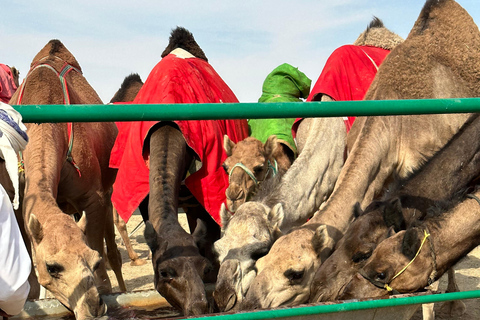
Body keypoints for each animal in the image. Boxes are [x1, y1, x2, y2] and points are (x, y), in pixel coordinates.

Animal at [9, 38, 124, 318]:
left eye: (93, 261)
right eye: (52, 267)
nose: (93, 308)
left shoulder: (95, 197)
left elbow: (101, 261)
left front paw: (104, 292)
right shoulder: (18, 200)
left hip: (108, 191)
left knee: (115, 254)